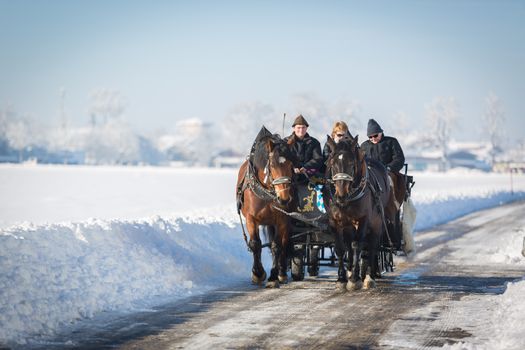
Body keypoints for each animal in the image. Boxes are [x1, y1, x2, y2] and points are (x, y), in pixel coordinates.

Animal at [236, 128, 296, 288]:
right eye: (272, 165)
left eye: (291, 165)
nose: (284, 198)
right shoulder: (251, 219)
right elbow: (255, 244)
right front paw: (257, 273)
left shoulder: (282, 218)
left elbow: (277, 246)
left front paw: (274, 276)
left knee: (284, 243)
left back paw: (282, 272)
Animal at [324, 134, 392, 290]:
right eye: (332, 163)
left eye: (351, 164)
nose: (341, 195)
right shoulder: (334, 220)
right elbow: (341, 248)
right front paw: (342, 278)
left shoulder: (364, 219)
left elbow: (357, 246)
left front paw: (355, 279)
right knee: (351, 244)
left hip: (377, 222)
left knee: (372, 246)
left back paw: (369, 277)